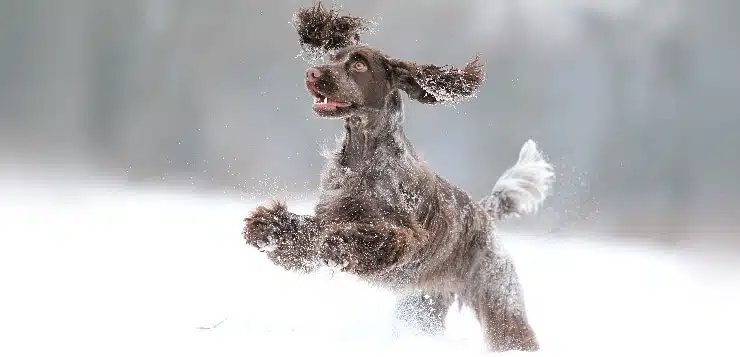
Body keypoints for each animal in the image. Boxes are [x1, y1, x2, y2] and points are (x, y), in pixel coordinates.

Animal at [244, 2, 556, 350]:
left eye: (359, 64)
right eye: (333, 58)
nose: (313, 74)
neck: (363, 155)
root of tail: (483, 212)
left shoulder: (404, 235)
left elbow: (363, 237)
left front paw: (337, 244)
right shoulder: (330, 214)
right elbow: (309, 231)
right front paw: (269, 228)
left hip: (497, 294)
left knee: (512, 329)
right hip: (421, 305)